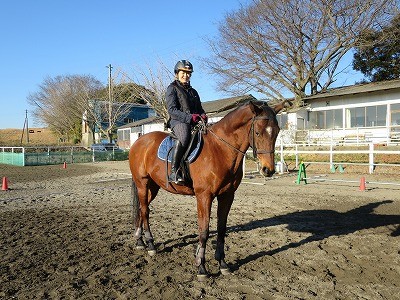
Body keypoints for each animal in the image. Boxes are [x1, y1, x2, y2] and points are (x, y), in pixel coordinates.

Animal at [128, 100, 288, 278]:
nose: (268, 170)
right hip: (142, 183)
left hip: (153, 186)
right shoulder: (204, 196)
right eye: (258, 132)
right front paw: (201, 267)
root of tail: (140, 141)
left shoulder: (227, 196)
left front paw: (222, 263)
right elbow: (204, 230)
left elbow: (221, 229)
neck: (220, 150)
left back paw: (140, 241)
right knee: (145, 211)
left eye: (277, 132)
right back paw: (150, 244)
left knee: (142, 209)